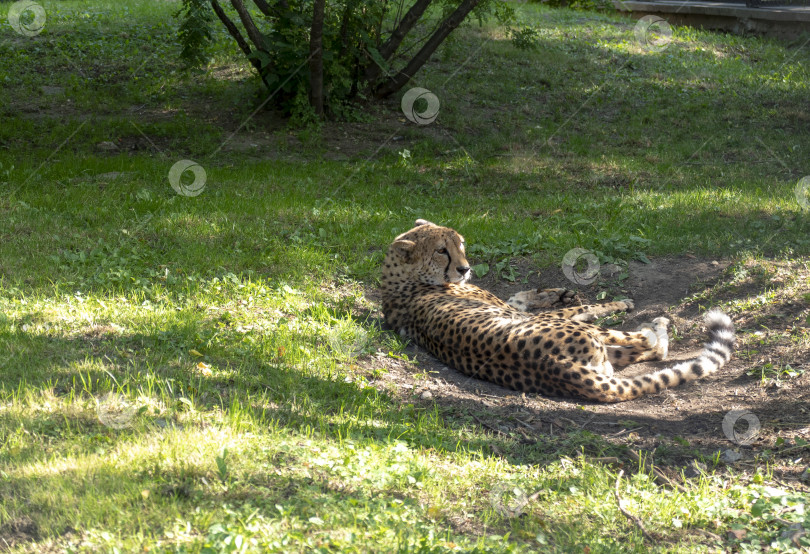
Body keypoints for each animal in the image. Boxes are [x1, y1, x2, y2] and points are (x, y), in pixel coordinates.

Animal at [378, 218, 732, 404]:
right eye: (441, 250)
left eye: (460, 243)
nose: (465, 269)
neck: (401, 280)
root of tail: (554, 367)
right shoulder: (529, 317)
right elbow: (588, 306)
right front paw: (619, 303)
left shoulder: (513, 307)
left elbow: (521, 296)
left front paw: (554, 292)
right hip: (591, 336)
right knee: (647, 343)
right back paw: (656, 324)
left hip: (604, 359)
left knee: (644, 352)